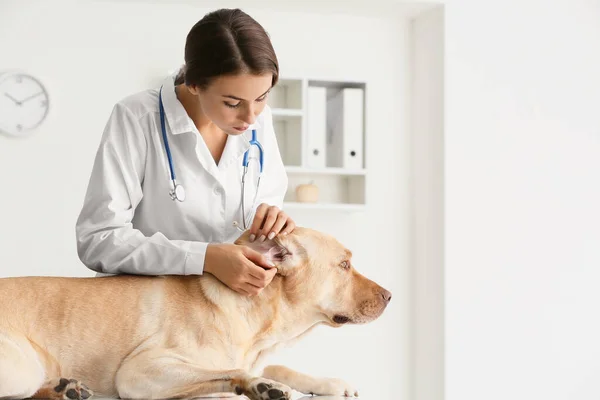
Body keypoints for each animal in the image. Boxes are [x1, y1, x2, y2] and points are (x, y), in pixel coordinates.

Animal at [0, 227, 390, 398]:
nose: (390, 296)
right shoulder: (140, 372)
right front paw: (258, 385)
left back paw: (63, 388)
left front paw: (330, 383)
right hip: (24, 366)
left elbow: (279, 366)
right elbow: (228, 373)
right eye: (344, 265)